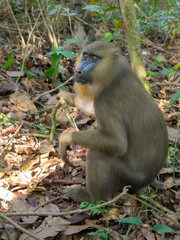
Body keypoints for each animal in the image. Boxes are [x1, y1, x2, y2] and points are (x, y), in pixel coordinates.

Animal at [58, 40, 169, 202]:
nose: (78, 71)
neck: (114, 75)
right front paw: (66, 97)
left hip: (128, 178)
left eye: (94, 58)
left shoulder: (104, 100)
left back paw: (91, 198)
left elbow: (118, 143)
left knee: (97, 155)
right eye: (85, 55)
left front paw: (66, 138)